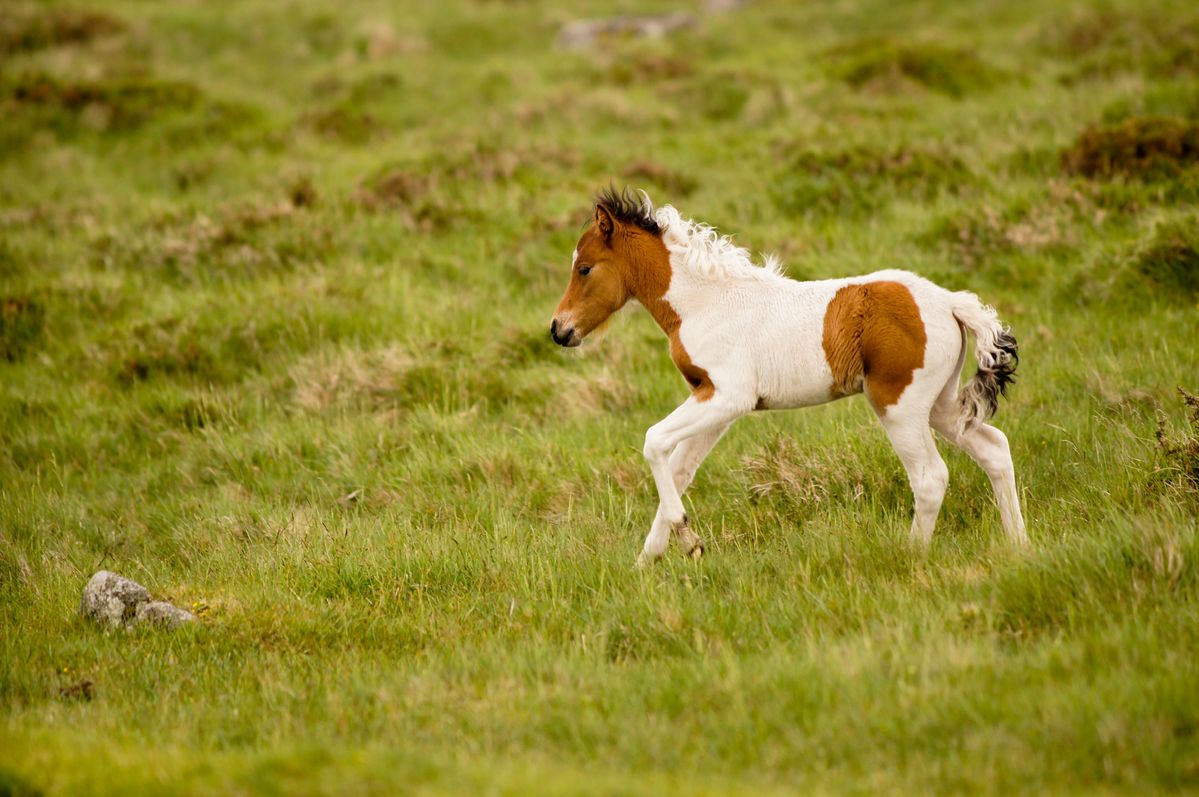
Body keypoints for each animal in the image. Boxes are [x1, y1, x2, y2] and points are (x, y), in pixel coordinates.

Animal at [550, 187, 1028, 566]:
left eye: (585, 268)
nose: (559, 330)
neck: (705, 303)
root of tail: (950, 301)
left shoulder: (729, 397)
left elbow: (653, 442)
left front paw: (683, 539)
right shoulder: (712, 402)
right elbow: (680, 467)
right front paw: (654, 560)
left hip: (899, 406)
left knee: (931, 477)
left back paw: (909, 555)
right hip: (941, 405)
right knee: (995, 449)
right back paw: (1018, 544)